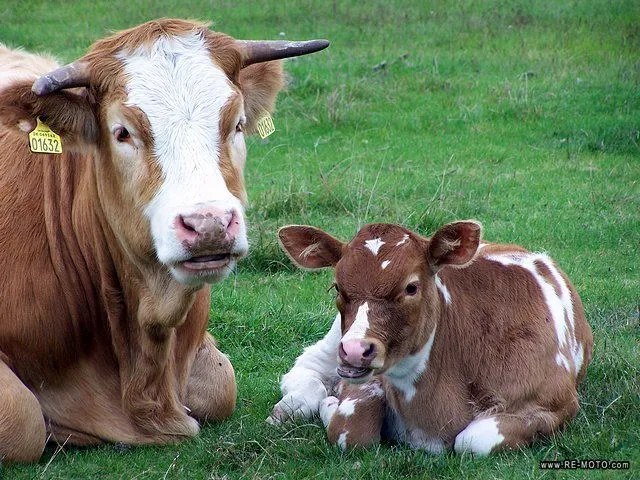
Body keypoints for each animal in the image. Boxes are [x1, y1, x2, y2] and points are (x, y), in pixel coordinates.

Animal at [268, 221, 592, 454]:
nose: (356, 350)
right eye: (337, 286)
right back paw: (288, 408)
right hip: (334, 339)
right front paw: (331, 405)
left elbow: (475, 439)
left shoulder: (557, 402)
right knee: (306, 369)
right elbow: (350, 431)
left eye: (411, 287)